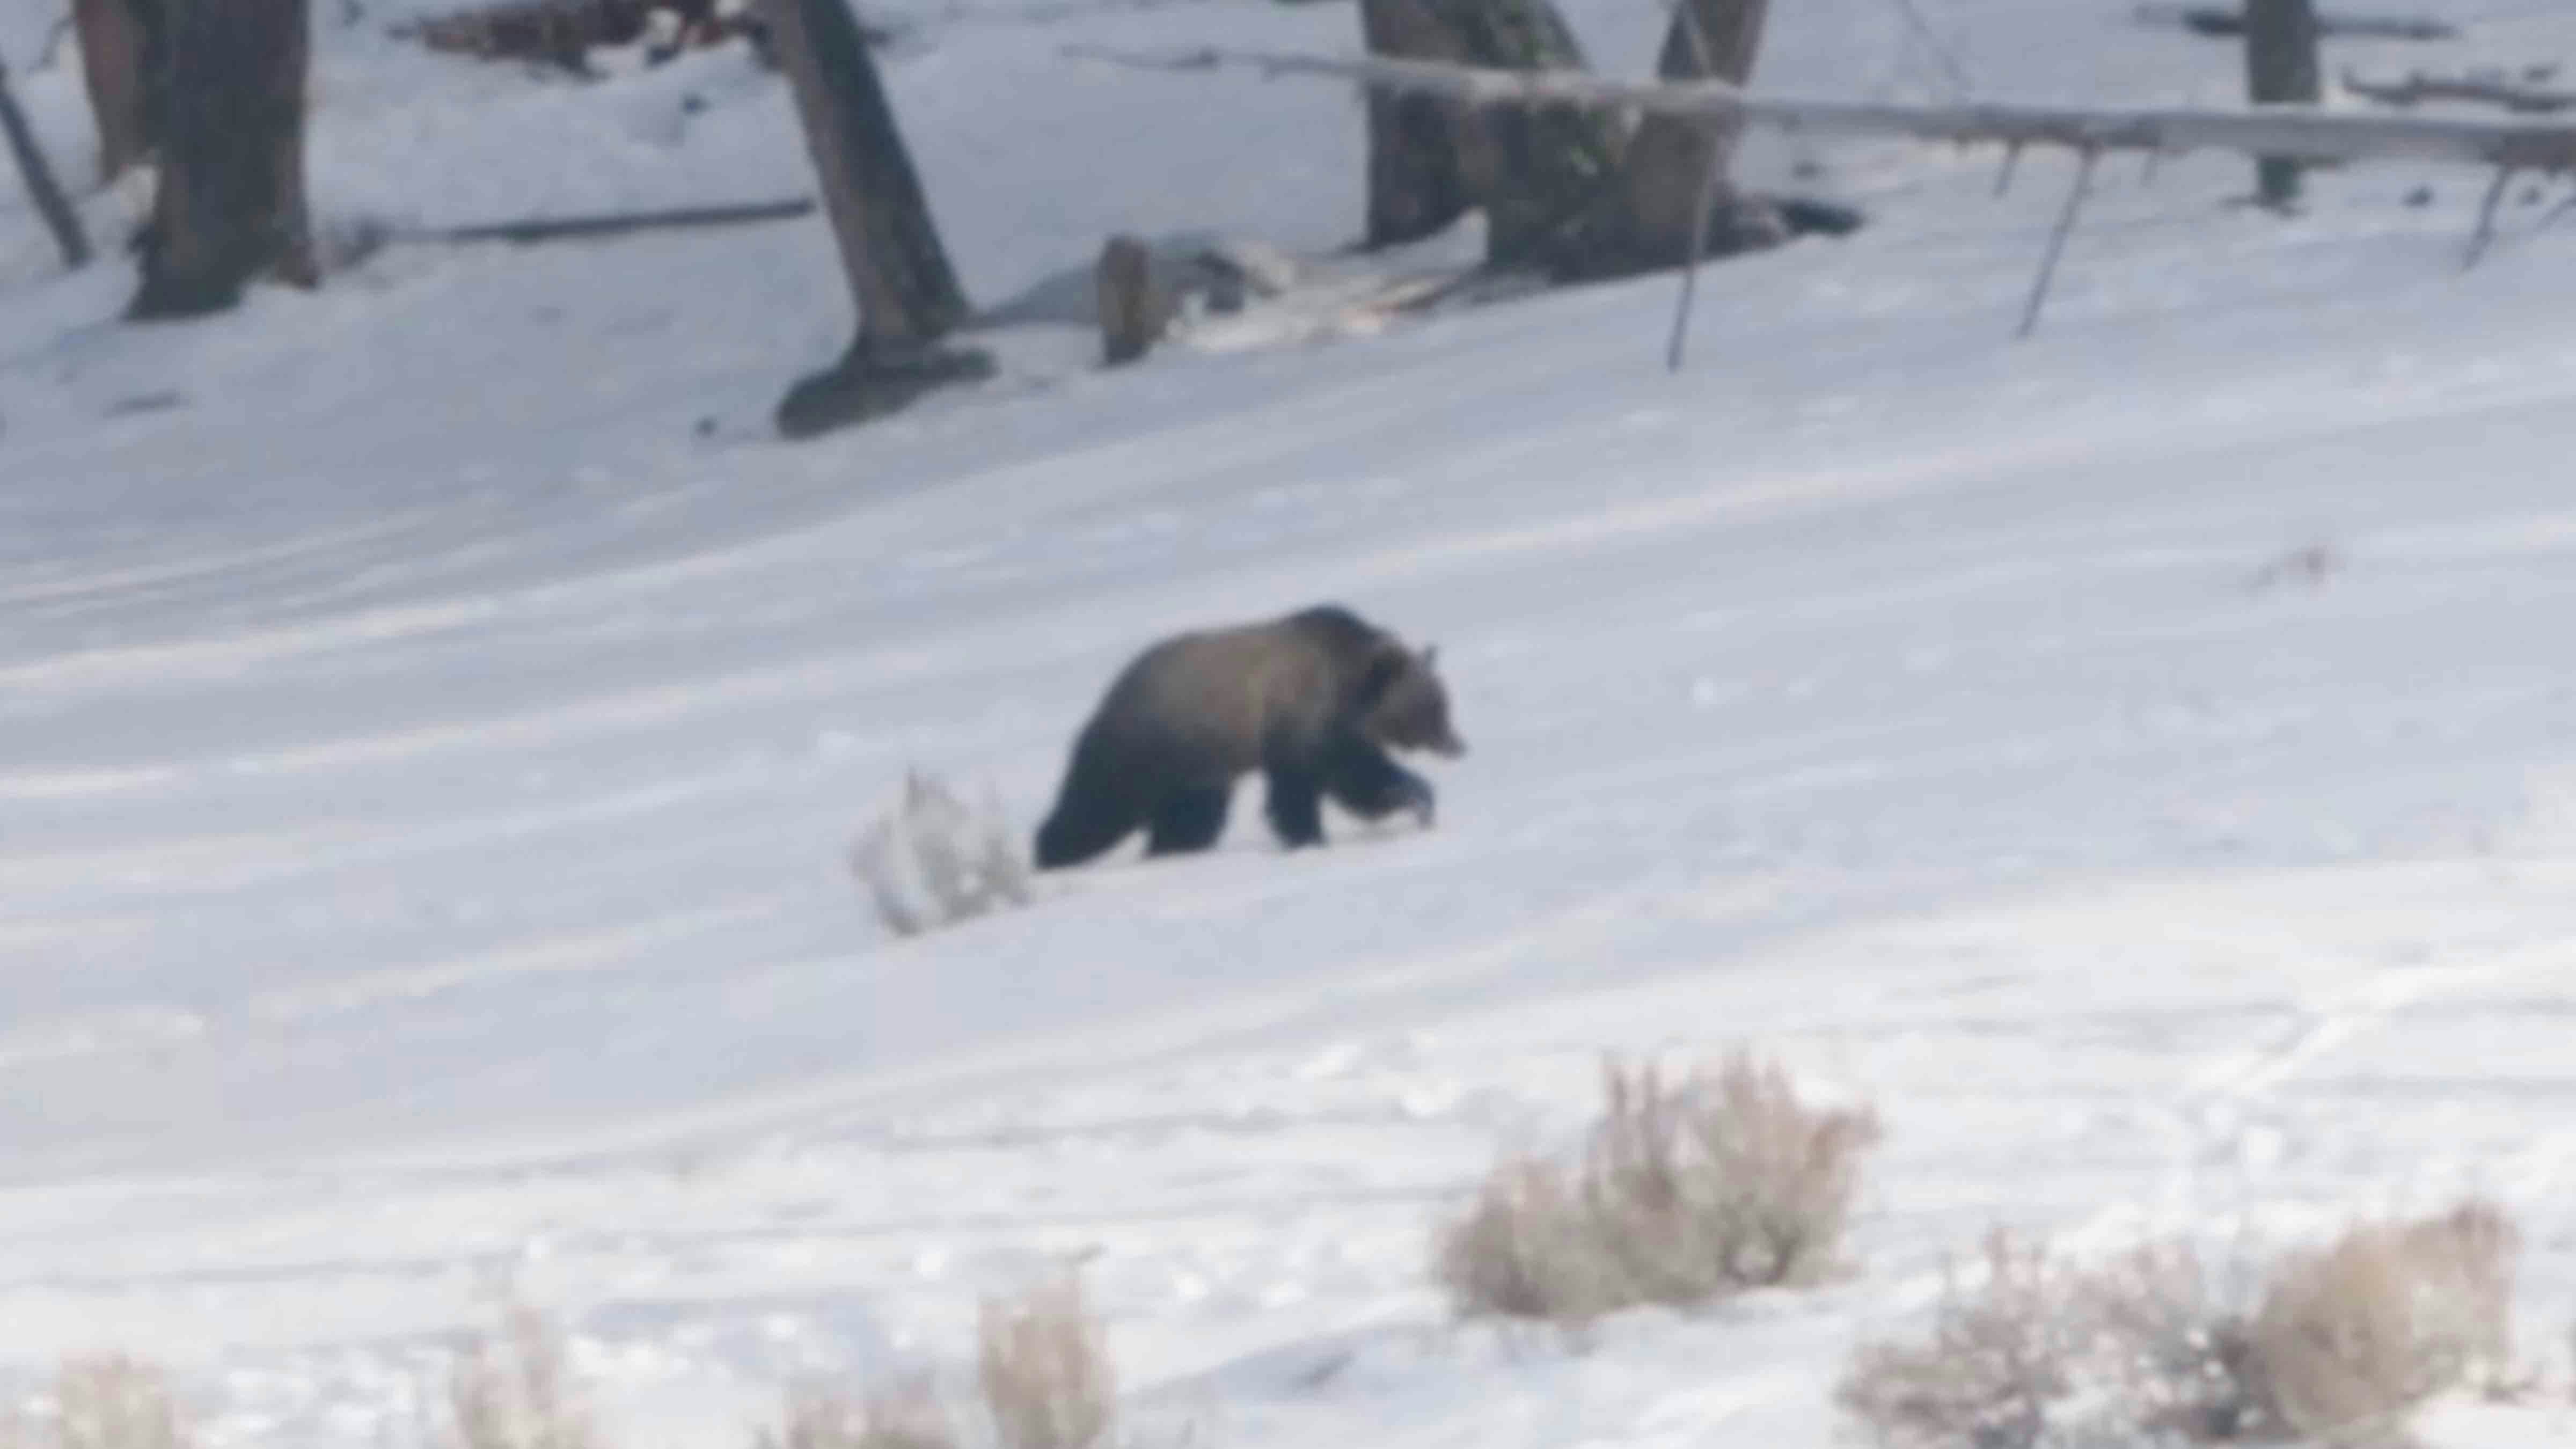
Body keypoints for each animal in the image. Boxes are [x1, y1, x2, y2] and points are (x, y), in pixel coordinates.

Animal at [1033, 604, 1465, 870]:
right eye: (1432, 706)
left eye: (1444, 701)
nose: (1458, 745)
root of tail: (1111, 692)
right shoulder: (1299, 722)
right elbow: (1309, 790)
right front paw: (1309, 837)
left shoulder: (1330, 733)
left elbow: (1358, 781)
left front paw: (1416, 798)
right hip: (1148, 748)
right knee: (1097, 805)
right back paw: (1049, 852)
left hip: (1196, 769)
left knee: (1188, 816)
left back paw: (1173, 848)